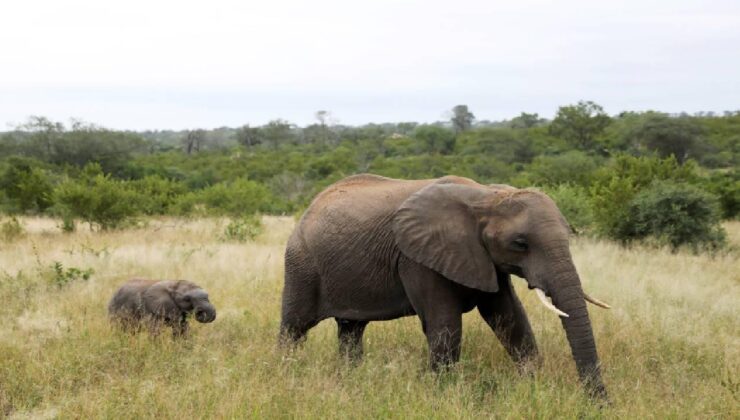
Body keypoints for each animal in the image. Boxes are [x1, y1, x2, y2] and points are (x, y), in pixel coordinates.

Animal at [280, 176, 608, 398]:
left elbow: (509, 318)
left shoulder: (485, 260)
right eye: (520, 243)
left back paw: (351, 379)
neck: (487, 197)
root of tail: (309, 207)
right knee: (294, 328)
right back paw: (287, 371)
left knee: (351, 330)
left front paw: (533, 387)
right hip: (301, 263)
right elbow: (445, 326)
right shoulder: (417, 258)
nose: (599, 403)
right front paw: (442, 395)